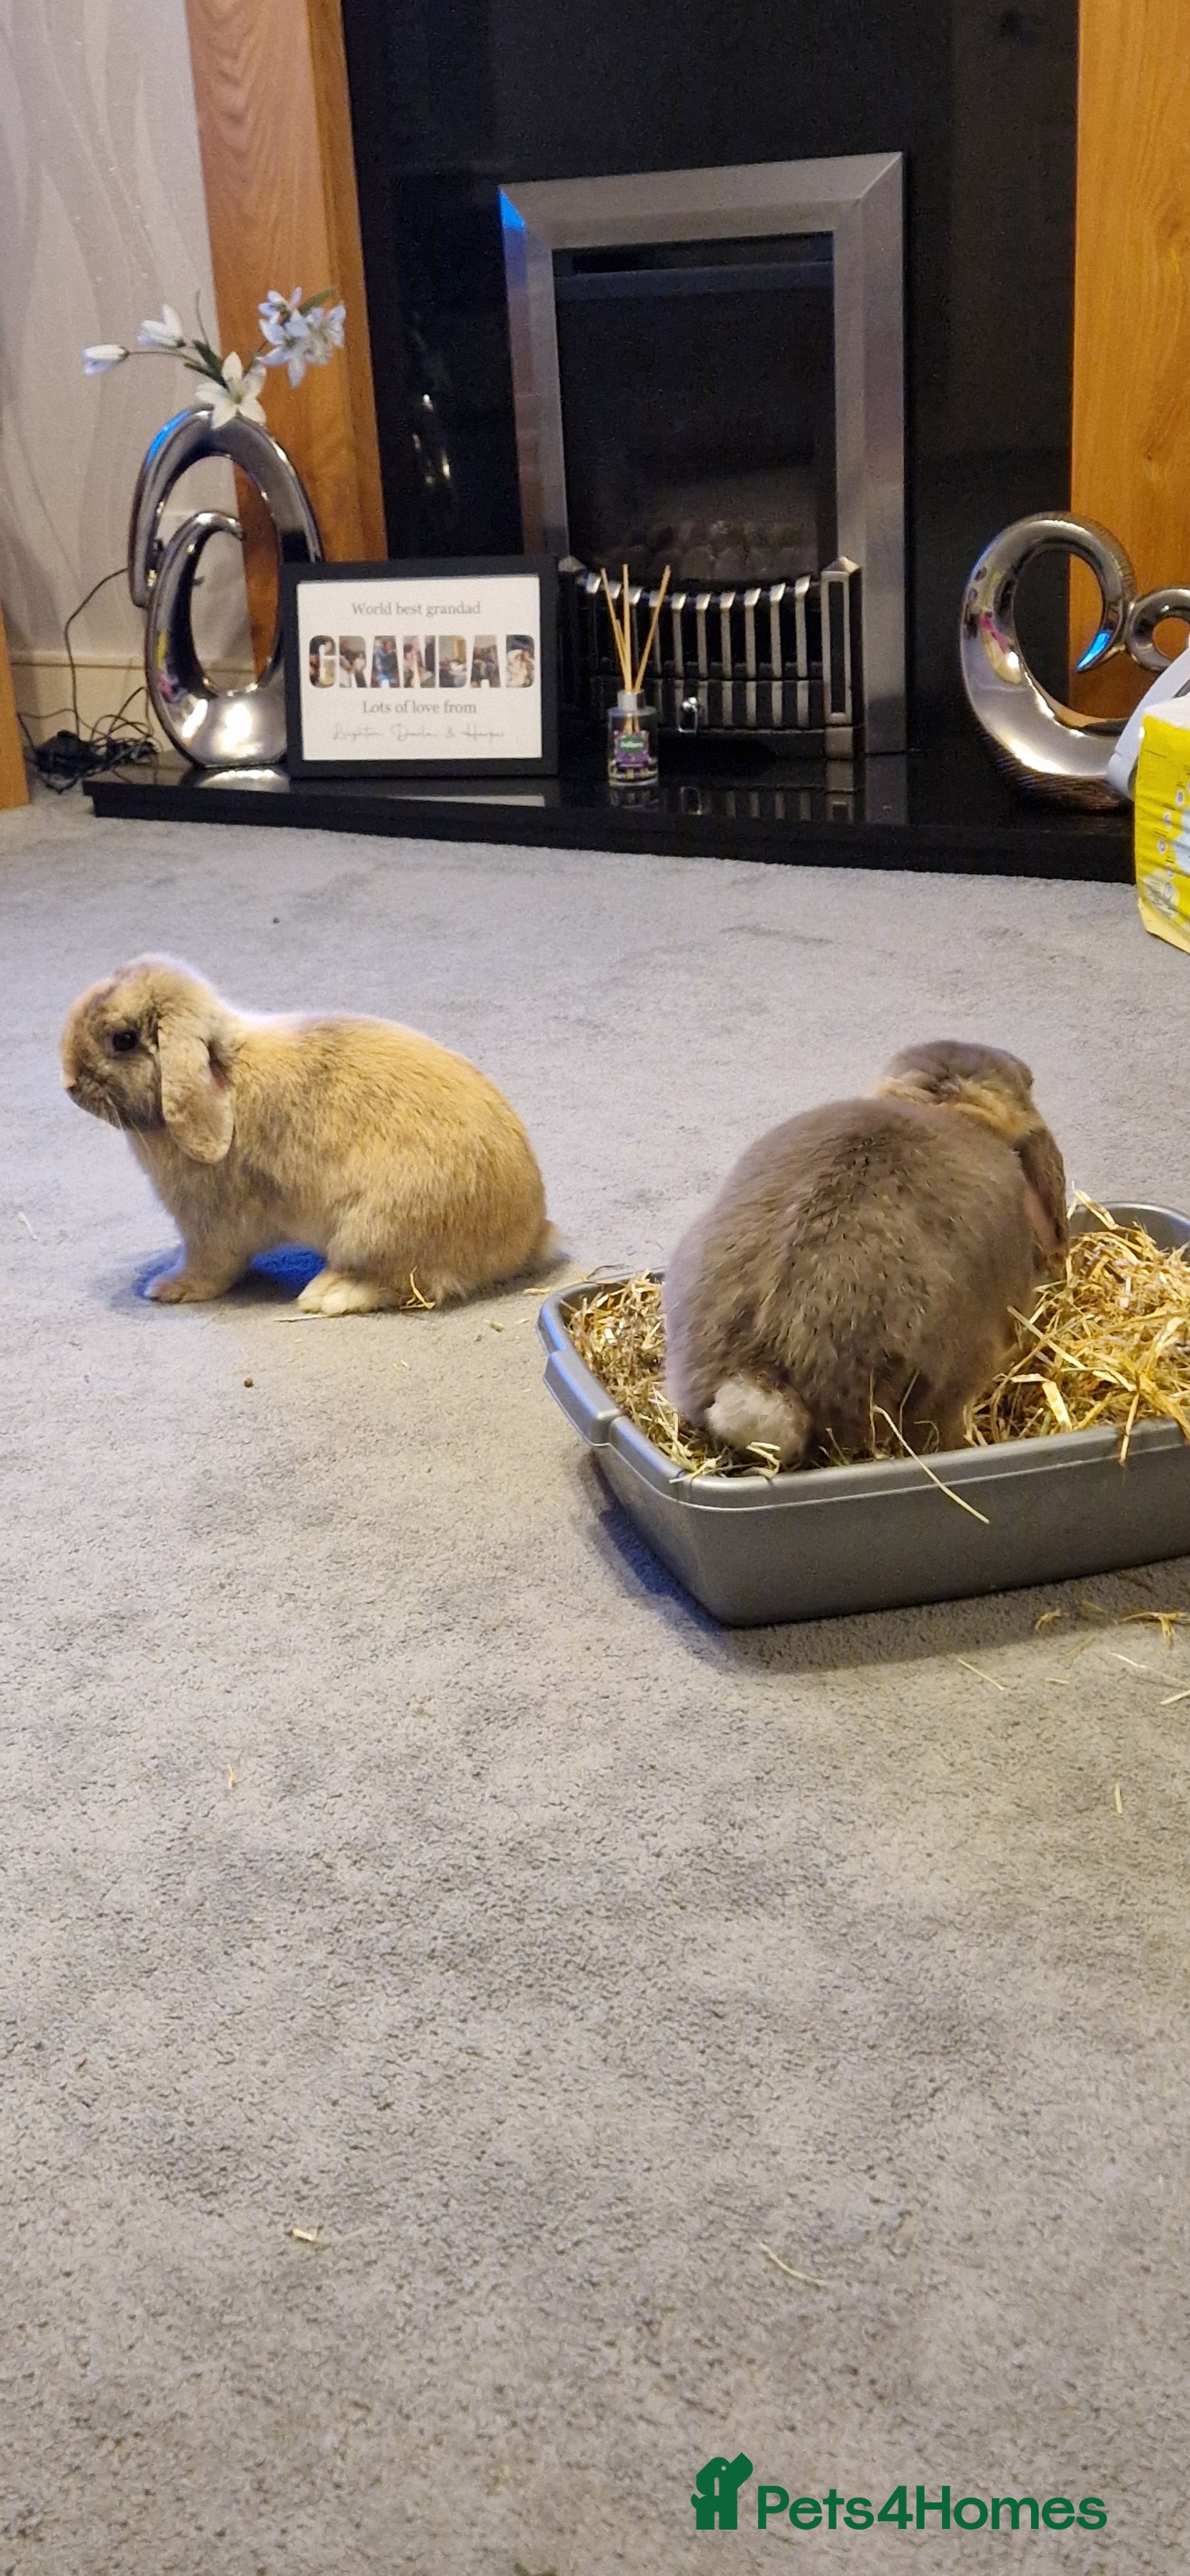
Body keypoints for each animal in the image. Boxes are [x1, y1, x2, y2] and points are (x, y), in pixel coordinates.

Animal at [61, 954, 554, 1312]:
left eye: (123, 1040)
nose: (69, 1083)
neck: (225, 1079)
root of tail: (531, 1236)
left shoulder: (208, 1225)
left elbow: (212, 1266)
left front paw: (169, 1288)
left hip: (373, 1231)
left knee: (411, 1282)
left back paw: (328, 1294)